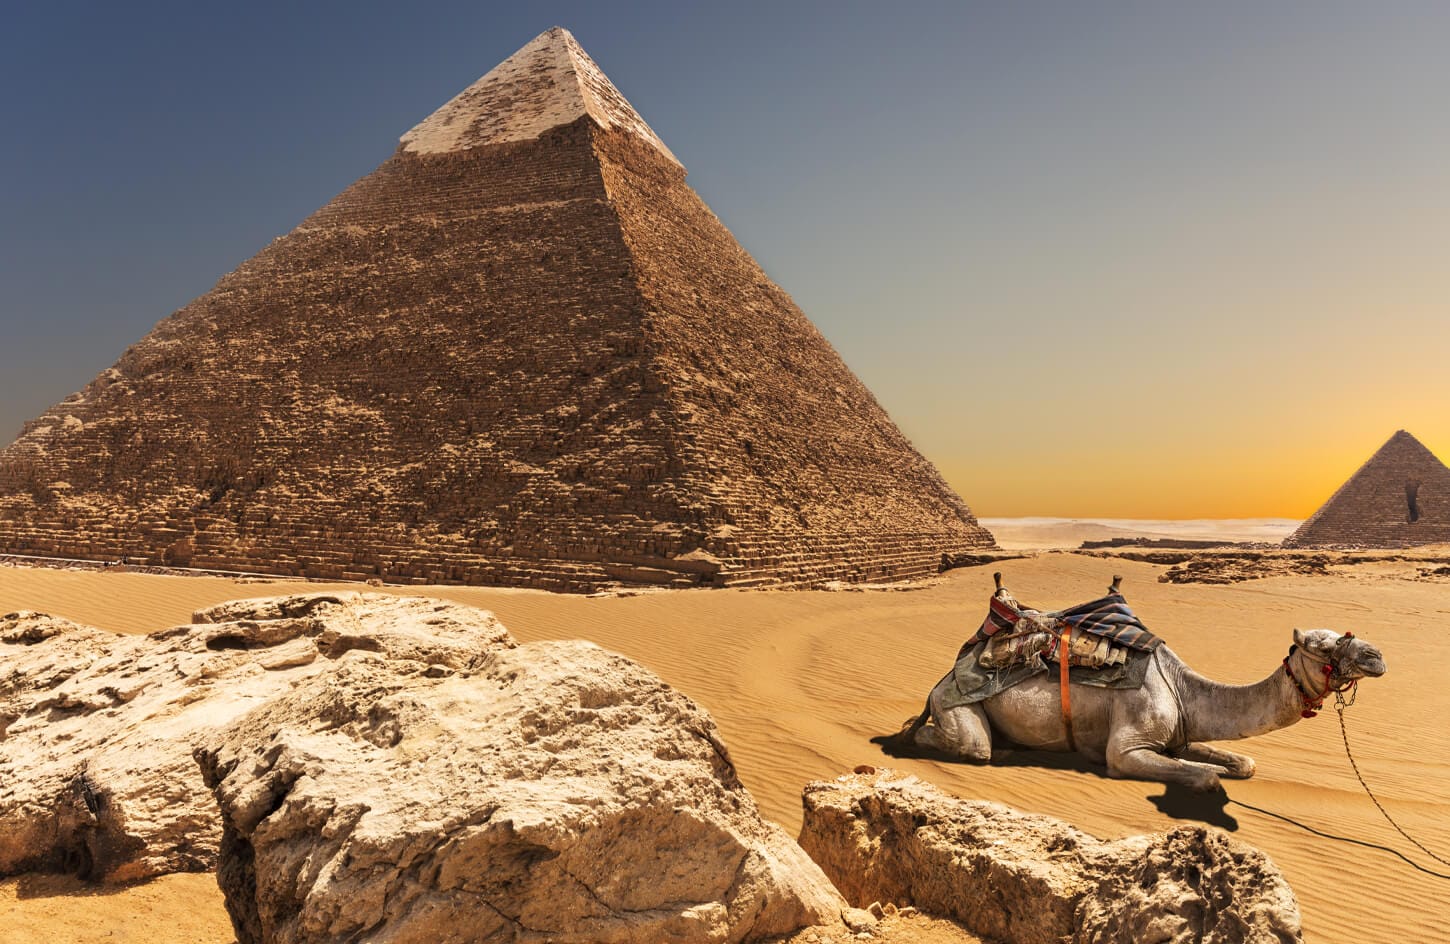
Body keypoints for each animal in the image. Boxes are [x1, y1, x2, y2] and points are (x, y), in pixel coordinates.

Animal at [883, 583, 1387, 791]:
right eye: (1321, 647)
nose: (1376, 656)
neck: (1182, 687)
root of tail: (944, 678)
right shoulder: (1127, 747)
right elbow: (1203, 775)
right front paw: (1207, 773)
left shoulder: (1181, 731)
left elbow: (1242, 763)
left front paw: (1229, 765)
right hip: (957, 708)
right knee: (962, 743)